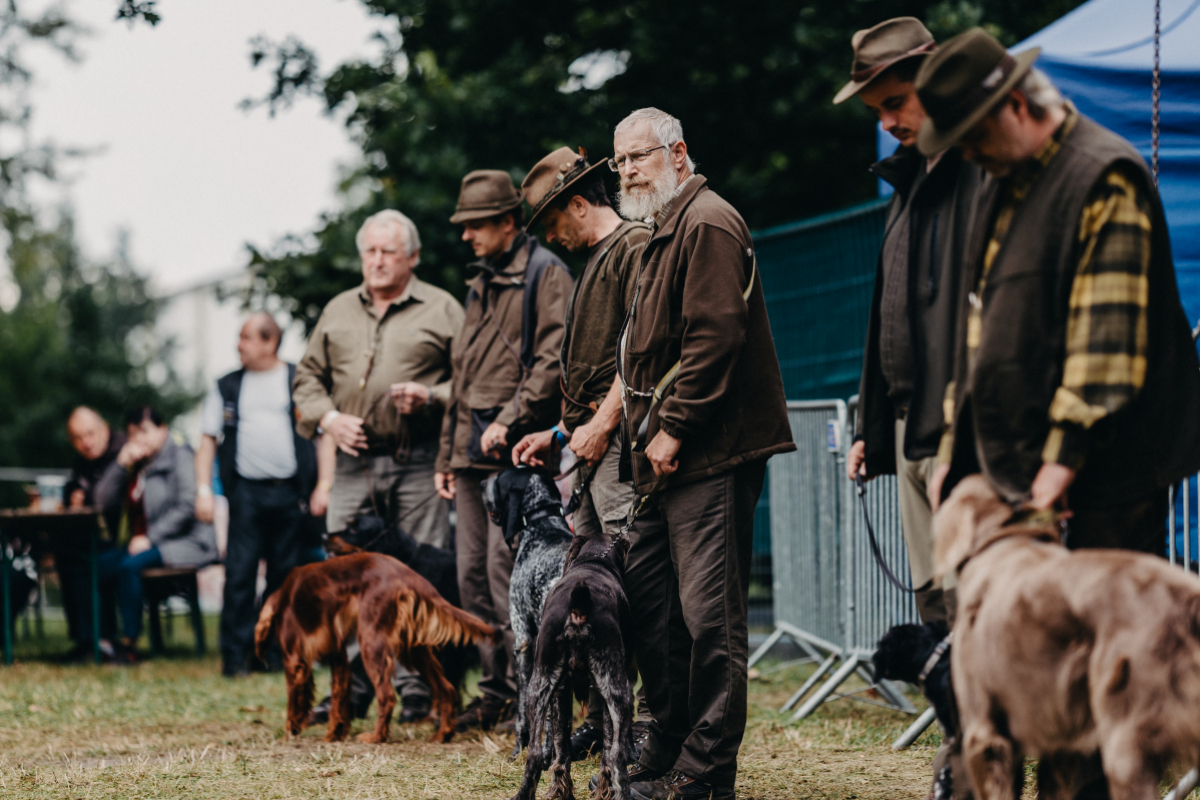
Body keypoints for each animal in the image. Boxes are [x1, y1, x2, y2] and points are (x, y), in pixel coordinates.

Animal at [253, 551, 496, 743]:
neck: (283, 596)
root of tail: (406, 574)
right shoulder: (339, 657)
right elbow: (338, 699)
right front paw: (334, 735)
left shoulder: (294, 661)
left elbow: (294, 703)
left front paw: (289, 732)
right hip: (414, 651)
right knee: (447, 689)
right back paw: (442, 734)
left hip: (371, 642)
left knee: (387, 696)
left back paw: (376, 737)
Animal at [480, 465, 573, 762]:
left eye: (499, 478)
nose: (481, 482)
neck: (543, 525)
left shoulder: (522, 642)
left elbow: (524, 712)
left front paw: (519, 749)